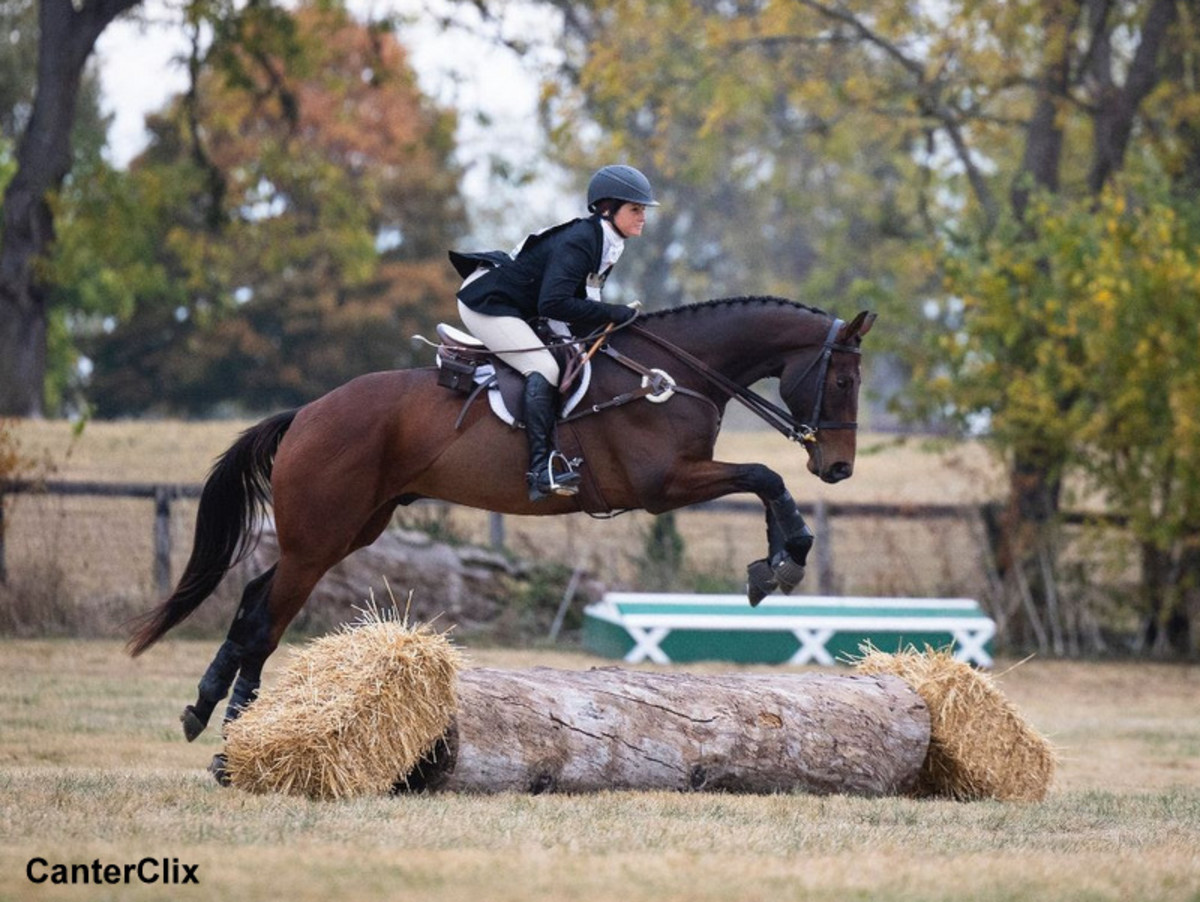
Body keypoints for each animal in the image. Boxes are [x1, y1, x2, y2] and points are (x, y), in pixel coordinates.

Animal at [126, 299, 878, 758]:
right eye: (843, 382)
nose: (838, 467)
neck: (674, 374)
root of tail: (307, 413)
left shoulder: (676, 481)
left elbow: (761, 480)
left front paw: (777, 562)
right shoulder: (663, 486)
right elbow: (764, 476)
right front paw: (782, 561)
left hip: (346, 532)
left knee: (258, 598)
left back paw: (210, 711)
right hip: (320, 537)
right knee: (264, 619)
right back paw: (228, 735)